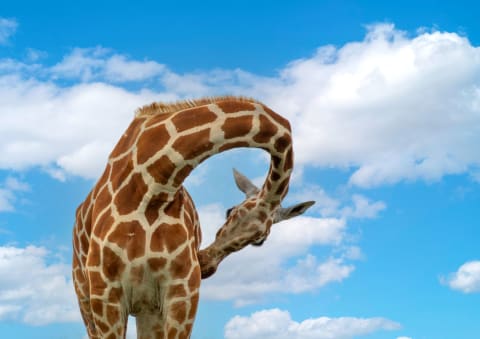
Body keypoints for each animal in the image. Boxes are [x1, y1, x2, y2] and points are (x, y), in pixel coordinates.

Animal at [72, 97, 316, 338]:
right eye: (229, 211)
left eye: (260, 241)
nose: (205, 263)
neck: (154, 185)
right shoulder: (105, 291)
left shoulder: (183, 289)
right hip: (86, 298)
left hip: (148, 308)